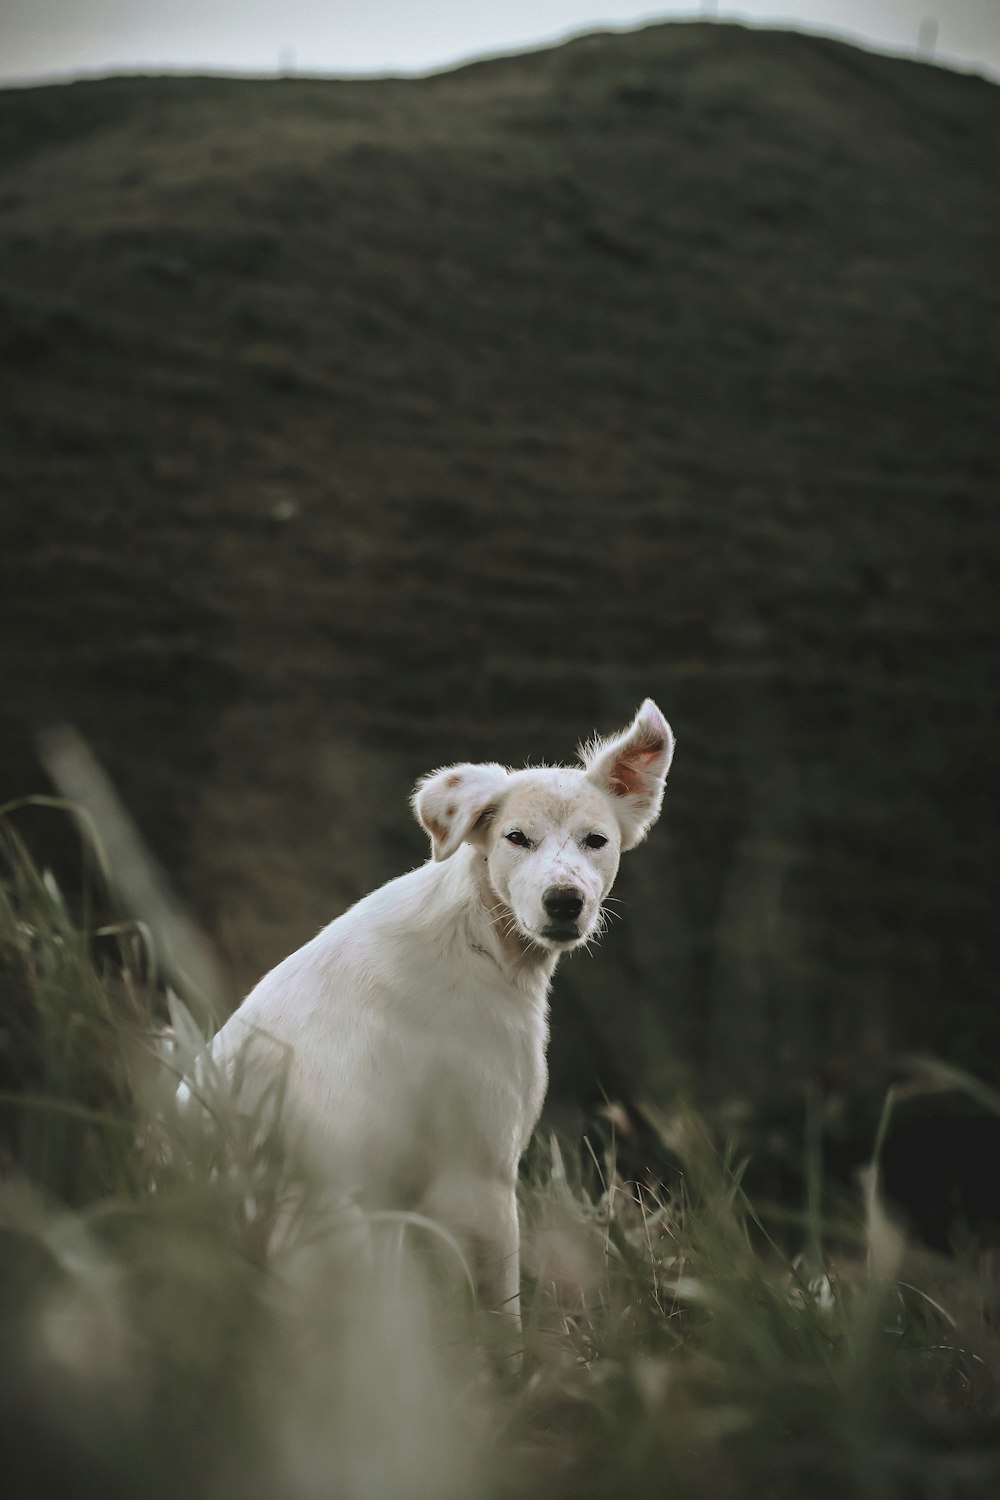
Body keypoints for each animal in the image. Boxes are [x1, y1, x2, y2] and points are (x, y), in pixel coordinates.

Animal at [200, 702, 671, 1338]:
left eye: (596, 841)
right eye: (516, 838)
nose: (564, 901)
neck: (475, 939)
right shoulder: (479, 1176)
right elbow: (501, 1319)